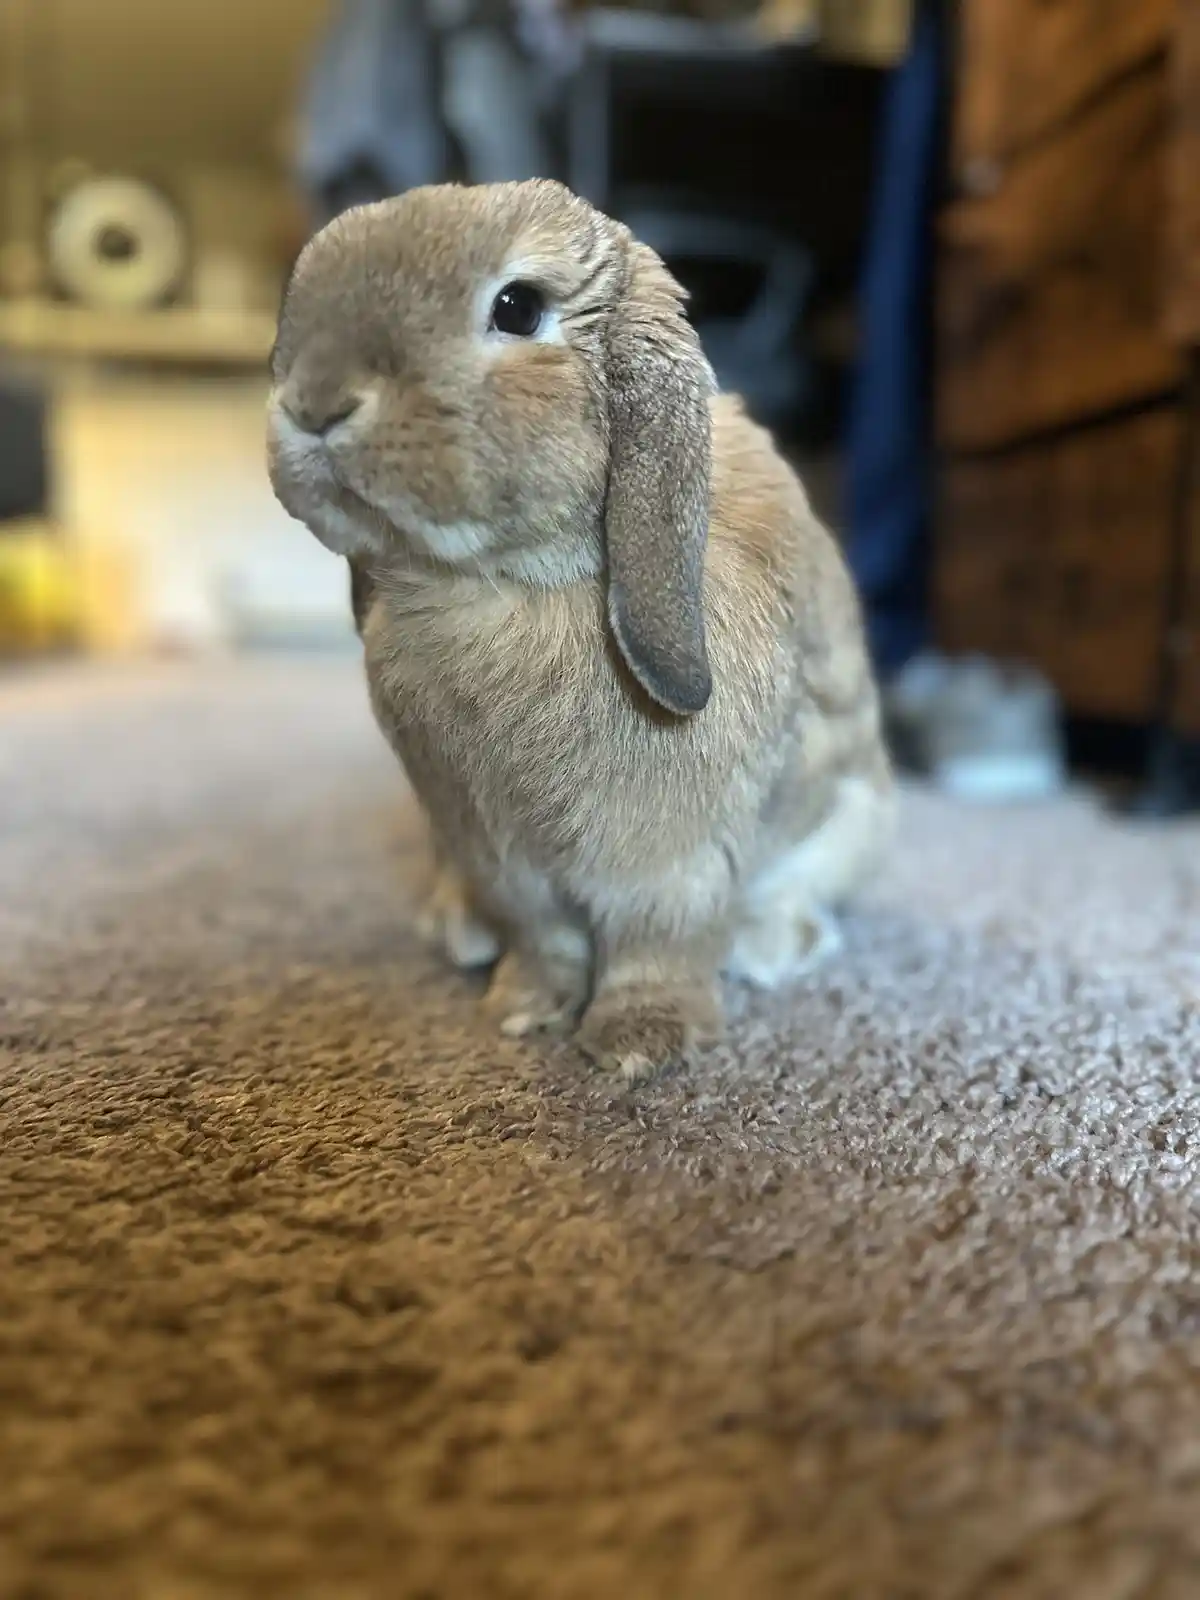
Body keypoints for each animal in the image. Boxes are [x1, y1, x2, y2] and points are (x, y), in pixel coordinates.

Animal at [268, 179, 893, 1082]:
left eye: (518, 307)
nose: (313, 403)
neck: (503, 585)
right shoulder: (499, 855)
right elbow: (546, 940)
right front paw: (523, 1010)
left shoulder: (673, 864)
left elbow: (655, 946)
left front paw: (640, 1044)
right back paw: (457, 933)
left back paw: (771, 944)